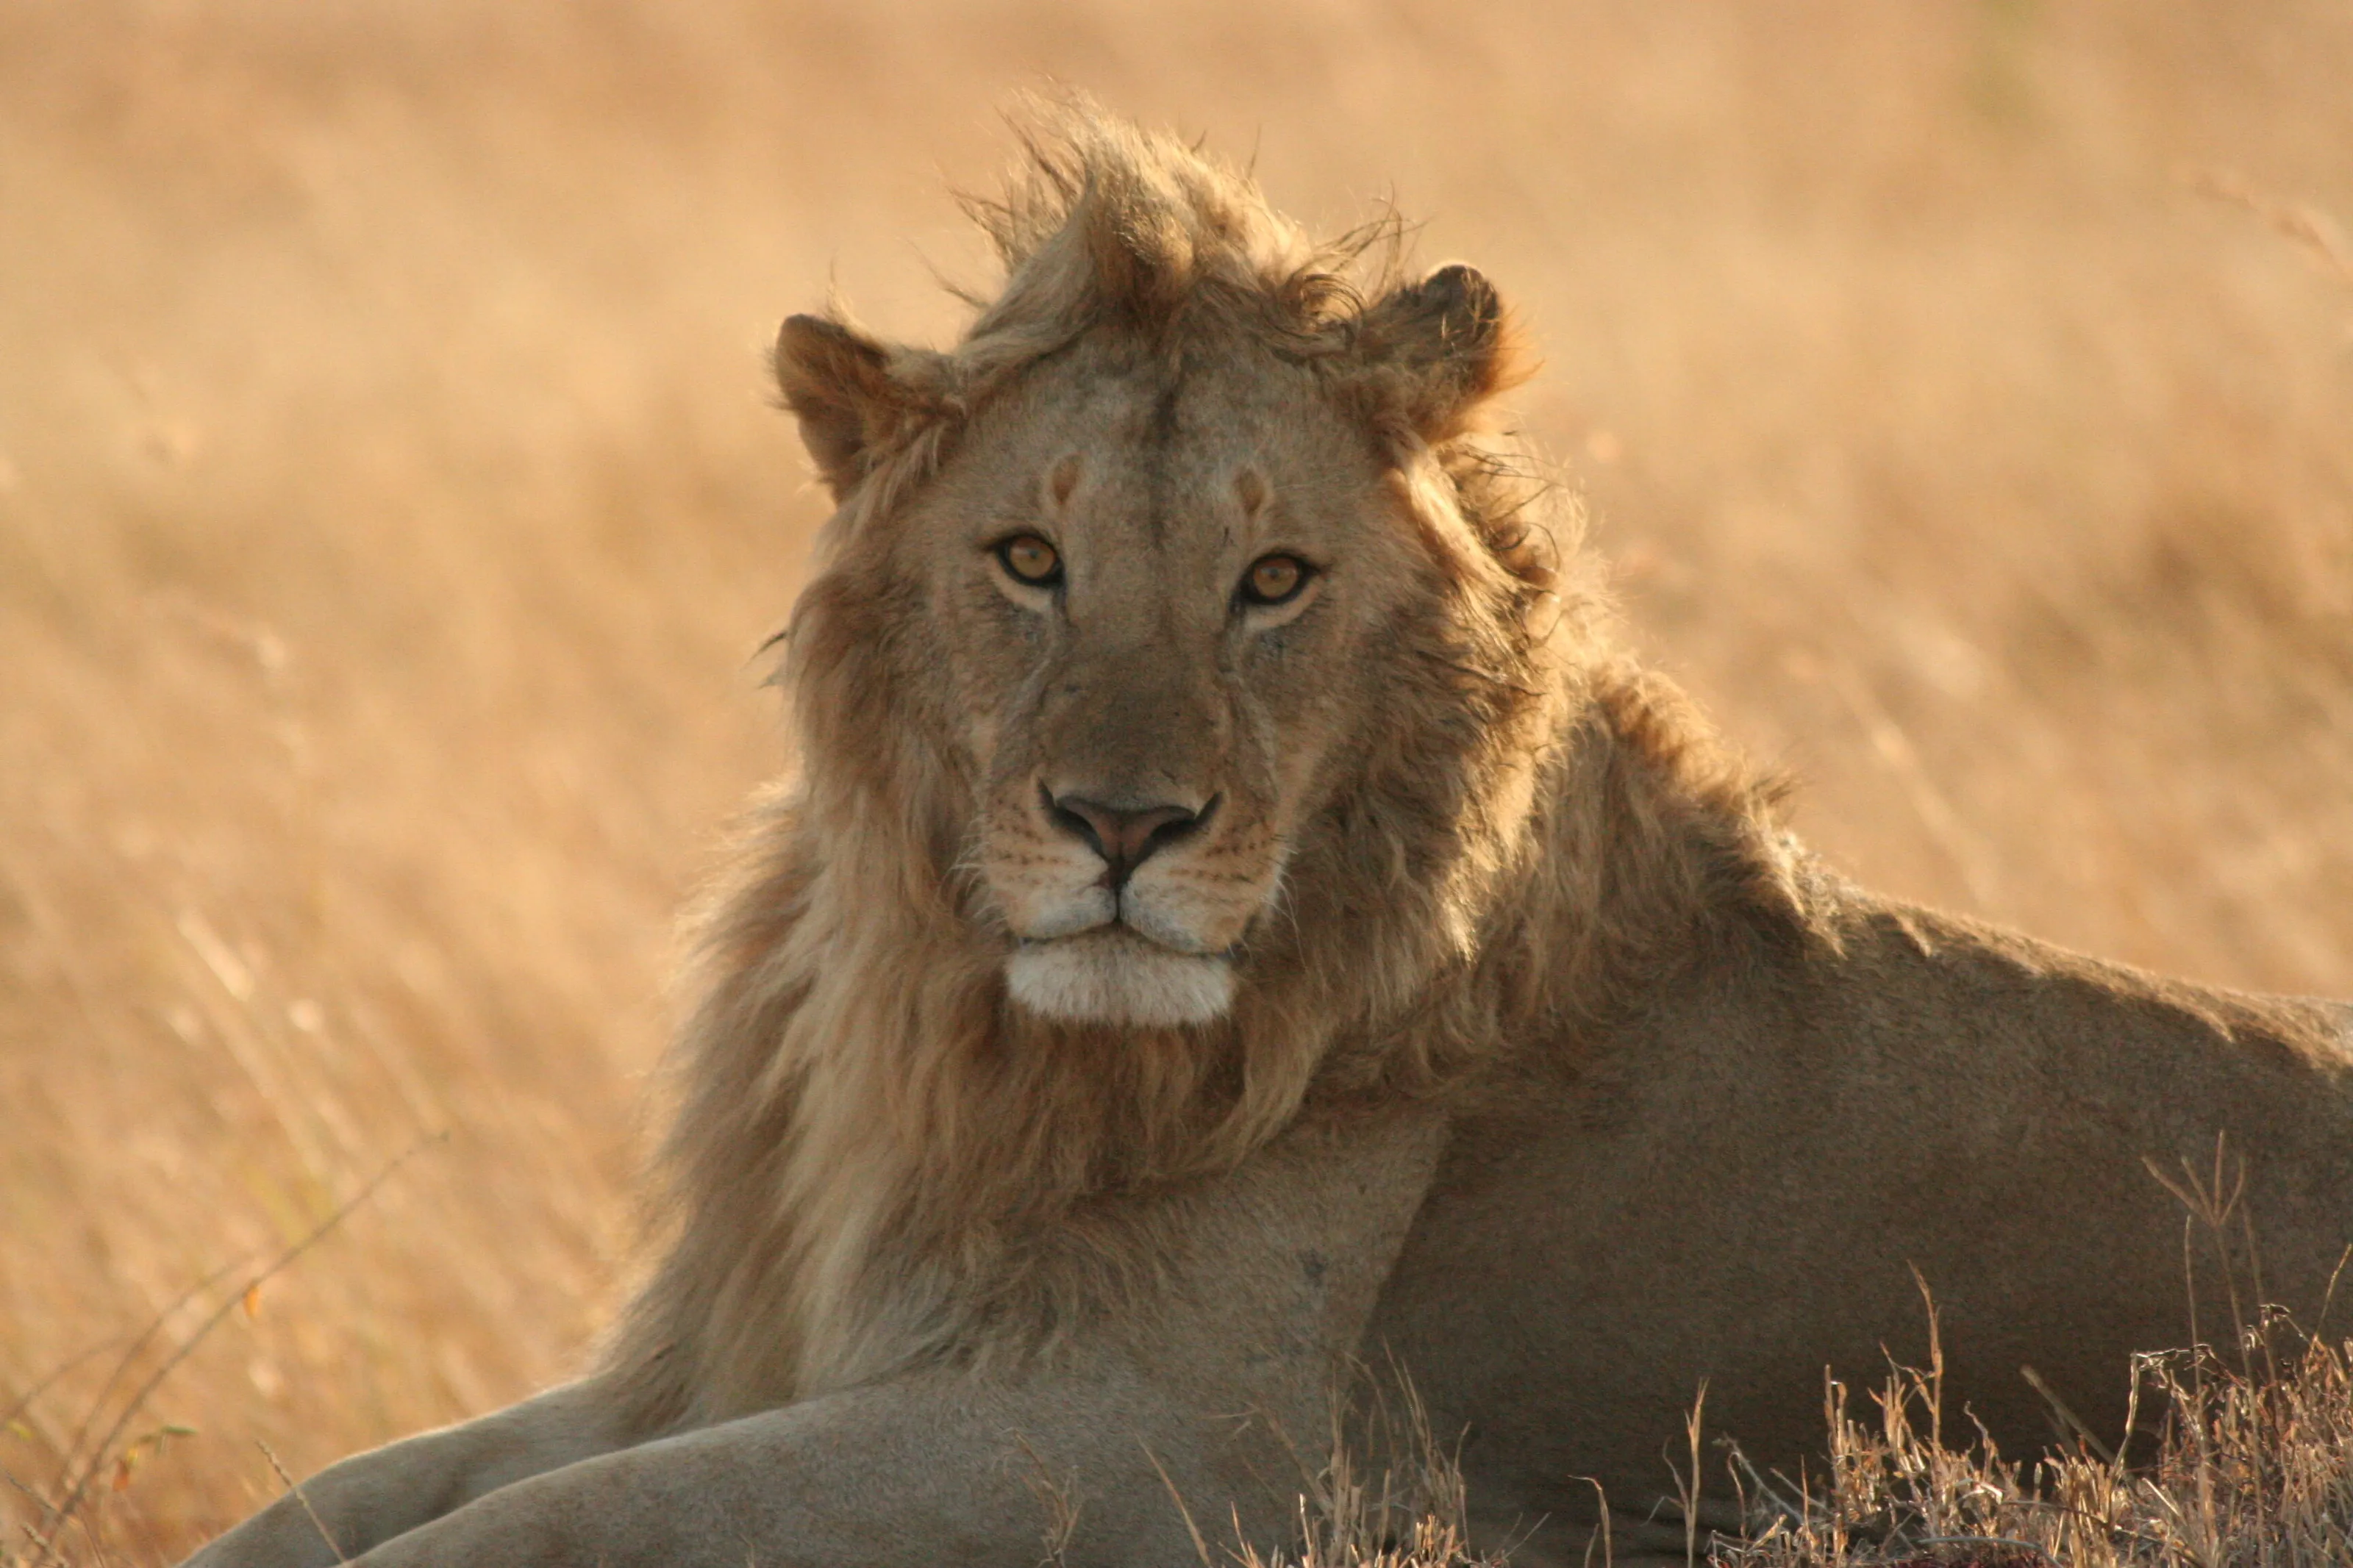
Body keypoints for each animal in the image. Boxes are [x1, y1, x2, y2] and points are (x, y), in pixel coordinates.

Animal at [186, 108, 2353, 1568]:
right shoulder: (745, 1343)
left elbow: (511, 1532)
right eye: (1030, 560)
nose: (1122, 824)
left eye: (1276, 581)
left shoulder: (1159, 1427)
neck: (953, 1027)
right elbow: (330, 1501)